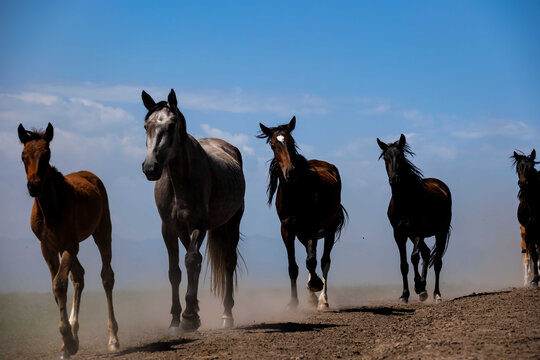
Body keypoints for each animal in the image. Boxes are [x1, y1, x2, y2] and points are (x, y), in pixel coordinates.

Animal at [17, 123, 119, 358]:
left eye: (46, 154)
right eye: (23, 156)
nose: (33, 186)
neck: (51, 209)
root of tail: (91, 175)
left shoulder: (70, 245)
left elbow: (59, 284)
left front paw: (68, 341)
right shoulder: (47, 247)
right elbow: (57, 287)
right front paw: (67, 343)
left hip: (102, 232)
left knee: (106, 276)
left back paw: (113, 338)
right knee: (79, 275)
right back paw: (76, 332)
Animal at [141, 89, 247, 332]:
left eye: (172, 125)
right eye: (146, 125)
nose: (150, 167)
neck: (180, 181)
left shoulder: (199, 225)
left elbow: (191, 260)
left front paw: (189, 317)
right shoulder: (169, 229)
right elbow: (175, 271)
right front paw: (175, 320)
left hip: (232, 223)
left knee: (227, 262)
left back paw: (227, 316)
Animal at [256, 116, 346, 310]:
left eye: (291, 141)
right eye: (273, 144)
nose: (290, 172)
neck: (295, 194)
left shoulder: (312, 226)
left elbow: (311, 261)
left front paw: (316, 284)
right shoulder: (287, 229)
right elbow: (293, 267)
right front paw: (293, 302)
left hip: (329, 229)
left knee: (324, 261)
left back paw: (323, 300)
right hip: (302, 233)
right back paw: (311, 297)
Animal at [376, 135, 452, 304]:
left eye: (401, 157)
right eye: (385, 158)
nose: (394, 180)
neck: (405, 202)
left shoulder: (418, 231)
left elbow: (414, 257)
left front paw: (419, 287)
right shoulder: (399, 234)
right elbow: (404, 264)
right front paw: (405, 295)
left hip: (441, 232)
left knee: (437, 262)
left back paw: (436, 294)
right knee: (427, 252)